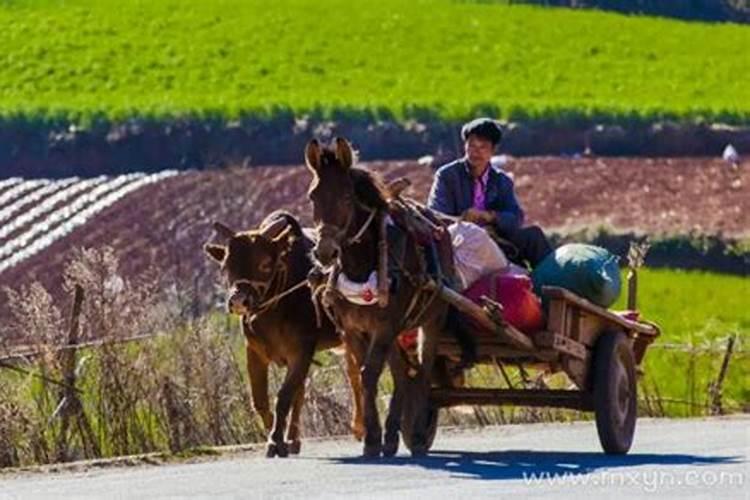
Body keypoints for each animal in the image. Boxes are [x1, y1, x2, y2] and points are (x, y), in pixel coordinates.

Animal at [203, 211, 368, 458]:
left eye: (264, 263)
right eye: (225, 267)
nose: (239, 301)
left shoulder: (301, 351)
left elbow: (283, 397)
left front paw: (275, 440)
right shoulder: (255, 352)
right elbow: (262, 400)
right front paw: (275, 434)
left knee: (356, 378)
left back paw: (360, 427)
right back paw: (294, 439)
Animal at [304, 137, 458, 458]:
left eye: (347, 197)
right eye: (313, 196)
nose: (325, 252)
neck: (362, 267)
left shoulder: (384, 326)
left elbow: (370, 374)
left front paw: (373, 437)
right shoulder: (353, 329)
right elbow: (367, 376)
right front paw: (375, 437)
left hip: (431, 320)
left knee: (422, 372)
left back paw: (417, 431)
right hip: (396, 331)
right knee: (402, 374)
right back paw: (393, 434)